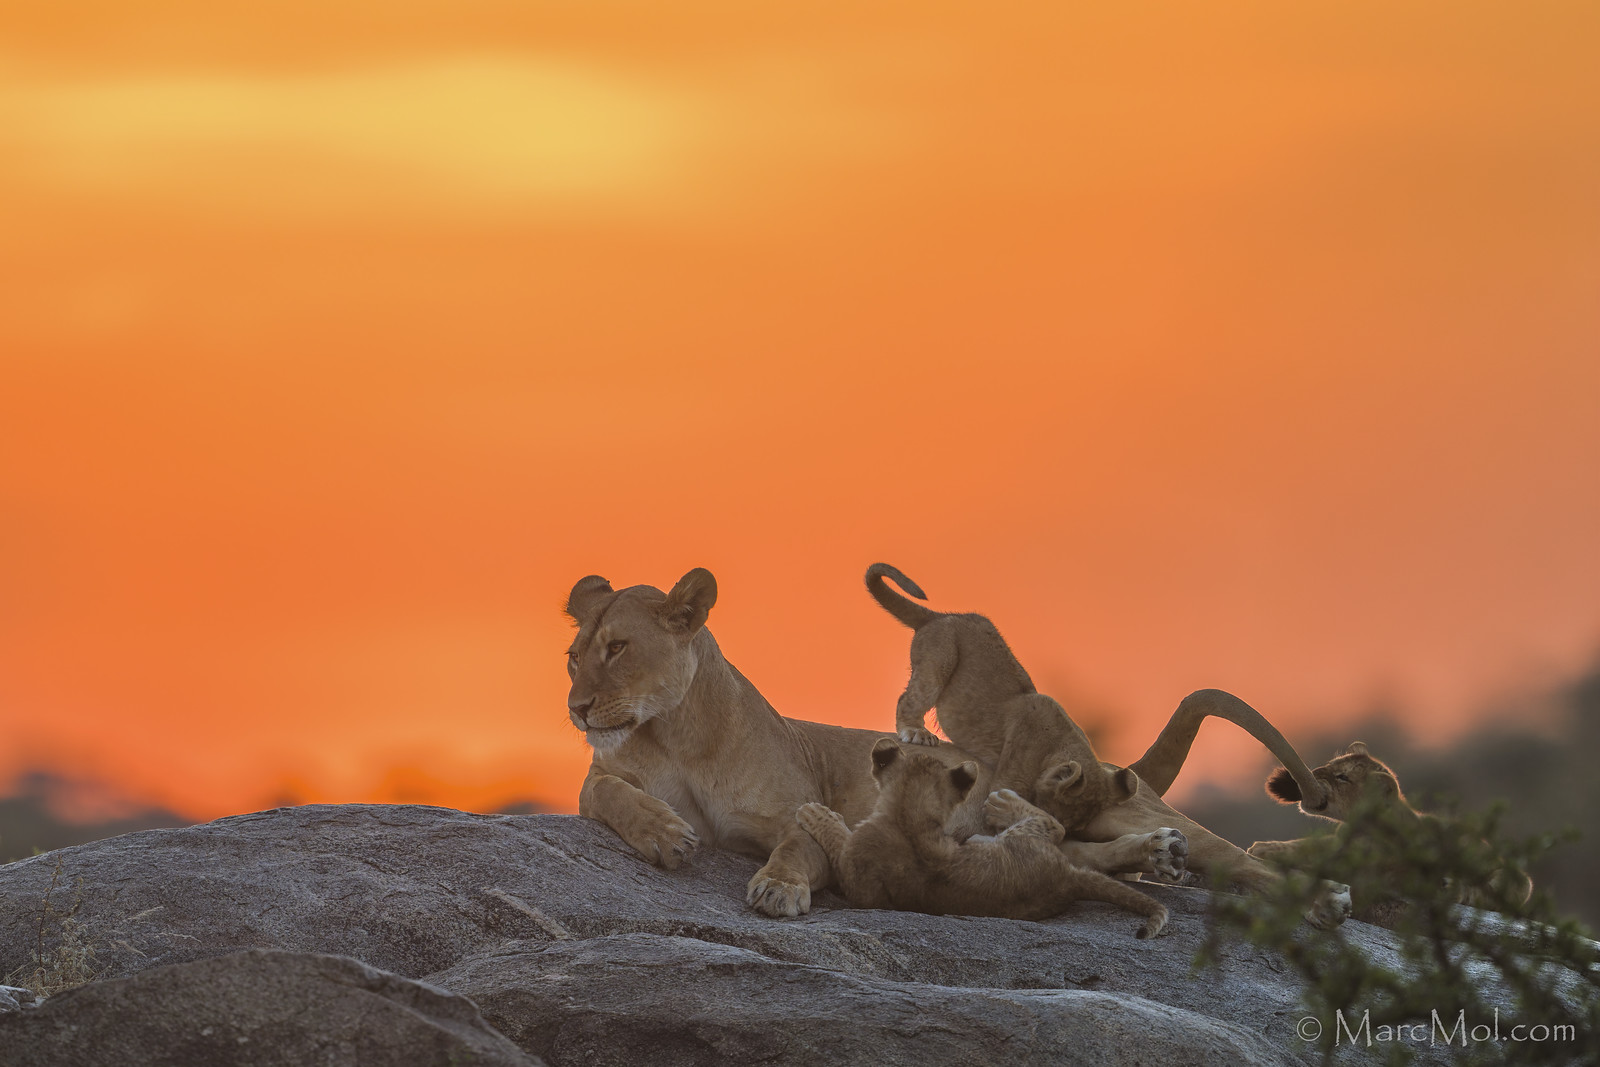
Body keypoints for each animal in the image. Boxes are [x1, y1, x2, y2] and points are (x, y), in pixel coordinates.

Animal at [795, 739, 1169, 938]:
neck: (910, 815)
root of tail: (1068, 879)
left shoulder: (854, 873)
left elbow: (837, 838)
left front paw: (815, 813)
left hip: (1014, 837)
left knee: (1055, 825)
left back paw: (1002, 801)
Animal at [866, 562, 1352, 928]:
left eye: (1073, 822)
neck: (1068, 747)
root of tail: (941, 616)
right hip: (940, 658)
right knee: (911, 697)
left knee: (1236, 860)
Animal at [1249, 742, 1534, 921]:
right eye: (1330, 763)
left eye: (1343, 777)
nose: (1307, 774)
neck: (1360, 826)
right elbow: (1305, 845)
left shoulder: (1357, 863)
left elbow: (1309, 853)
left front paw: (1262, 849)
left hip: (1516, 881)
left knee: (1486, 893)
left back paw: (1449, 886)